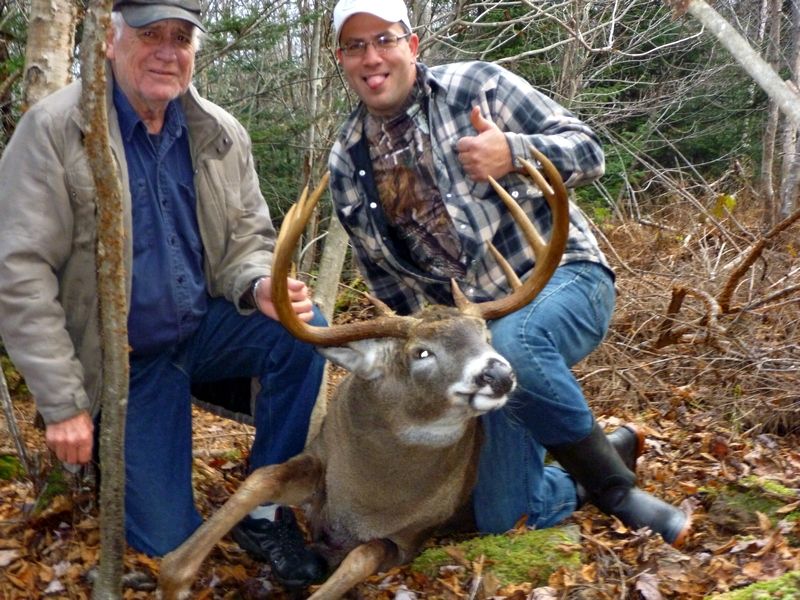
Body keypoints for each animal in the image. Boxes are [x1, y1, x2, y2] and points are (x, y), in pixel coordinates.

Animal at [157, 146, 569, 600]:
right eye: (421, 352)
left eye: (485, 335)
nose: (498, 373)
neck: (368, 492)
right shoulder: (320, 462)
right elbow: (263, 477)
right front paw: (174, 574)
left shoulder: (413, 536)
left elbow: (361, 555)